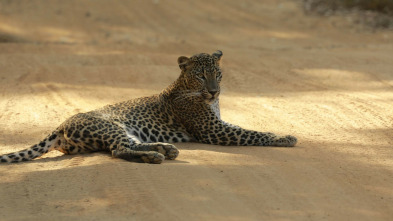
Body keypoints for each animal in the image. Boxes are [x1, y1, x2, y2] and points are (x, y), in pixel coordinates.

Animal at [0, 50, 294, 164]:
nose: (214, 91)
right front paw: (284, 137)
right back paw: (156, 156)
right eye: (201, 75)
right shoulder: (214, 130)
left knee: (127, 145)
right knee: (118, 150)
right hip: (108, 127)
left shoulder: (219, 123)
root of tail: (60, 125)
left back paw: (165, 149)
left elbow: (249, 128)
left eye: (218, 74)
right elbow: (253, 133)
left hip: (122, 130)